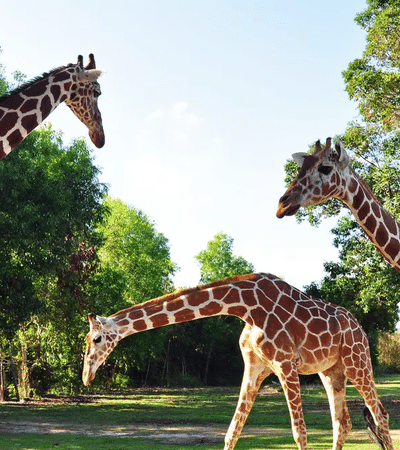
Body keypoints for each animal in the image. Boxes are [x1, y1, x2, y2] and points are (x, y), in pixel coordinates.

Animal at [82, 272, 394, 448]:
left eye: (95, 339)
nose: (86, 376)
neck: (245, 307)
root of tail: (360, 328)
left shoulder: (285, 365)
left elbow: (299, 433)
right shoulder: (255, 367)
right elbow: (232, 432)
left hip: (357, 361)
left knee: (380, 413)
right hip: (331, 372)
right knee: (342, 423)